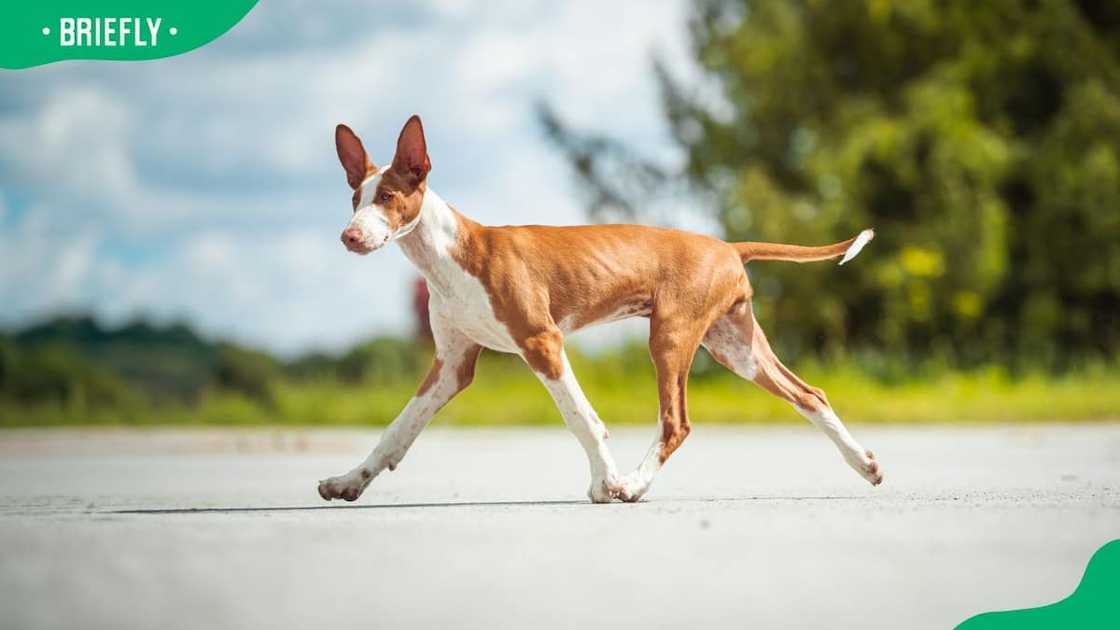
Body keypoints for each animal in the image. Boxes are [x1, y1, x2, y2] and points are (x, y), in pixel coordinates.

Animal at [318, 113, 882, 499]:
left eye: (389, 197)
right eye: (354, 200)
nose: (349, 237)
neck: (449, 254)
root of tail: (726, 246)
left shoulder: (541, 340)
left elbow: (581, 418)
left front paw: (607, 482)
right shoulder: (451, 365)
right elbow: (397, 430)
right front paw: (349, 480)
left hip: (671, 335)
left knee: (676, 423)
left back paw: (632, 484)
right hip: (734, 346)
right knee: (811, 395)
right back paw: (865, 464)